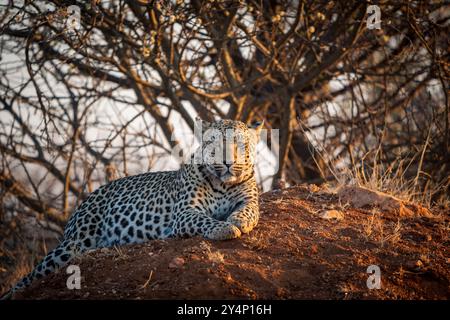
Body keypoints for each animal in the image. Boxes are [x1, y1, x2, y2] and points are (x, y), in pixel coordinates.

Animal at [2, 119, 264, 298]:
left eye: (241, 145)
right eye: (214, 144)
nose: (228, 162)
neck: (223, 183)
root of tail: (86, 200)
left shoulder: (249, 199)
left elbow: (250, 210)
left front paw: (239, 220)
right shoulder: (185, 213)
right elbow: (205, 220)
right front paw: (224, 228)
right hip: (73, 244)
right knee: (33, 275)